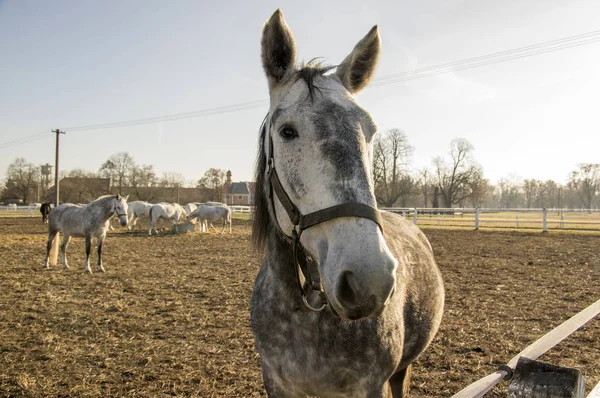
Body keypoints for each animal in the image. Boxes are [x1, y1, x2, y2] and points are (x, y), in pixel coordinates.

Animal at [250, 10, 446, 398]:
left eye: (369, 131)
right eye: (287, 131)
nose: (369, 279)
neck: (305, 316)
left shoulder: (371, 385)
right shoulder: (276, 382)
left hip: (402, 370)